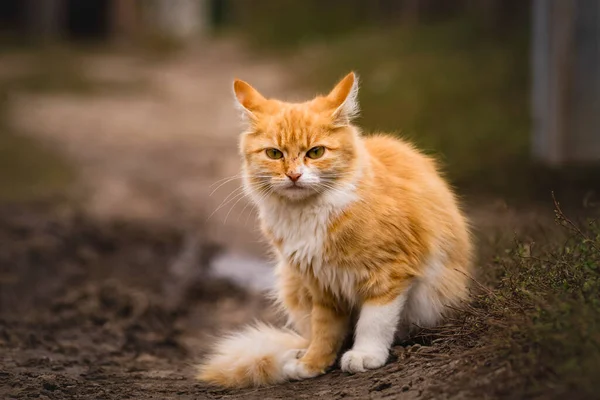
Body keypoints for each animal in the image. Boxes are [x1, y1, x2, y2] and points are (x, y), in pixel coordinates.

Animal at [199, 72, 472, 388]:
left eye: (316, 152)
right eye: (274, 154)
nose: (294, 175)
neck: (307, 214)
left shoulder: (389, 273)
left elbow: (374, 322)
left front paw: (365, 355)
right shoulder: (322, 285)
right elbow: (324, 331)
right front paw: (312, 363)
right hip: (291, 283)